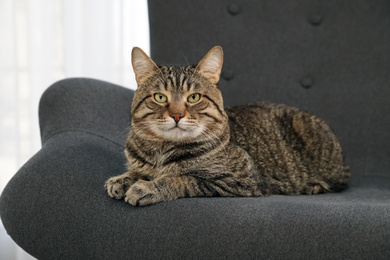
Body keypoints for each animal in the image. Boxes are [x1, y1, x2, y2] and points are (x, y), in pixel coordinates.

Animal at [103, 45, 350, 206]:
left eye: (194, 98)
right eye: (160, 97)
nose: (177, 115)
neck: (162, 152)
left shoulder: (240, 181)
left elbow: (182, 179)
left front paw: (147, 187)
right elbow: (138, 171)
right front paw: (123, 179)